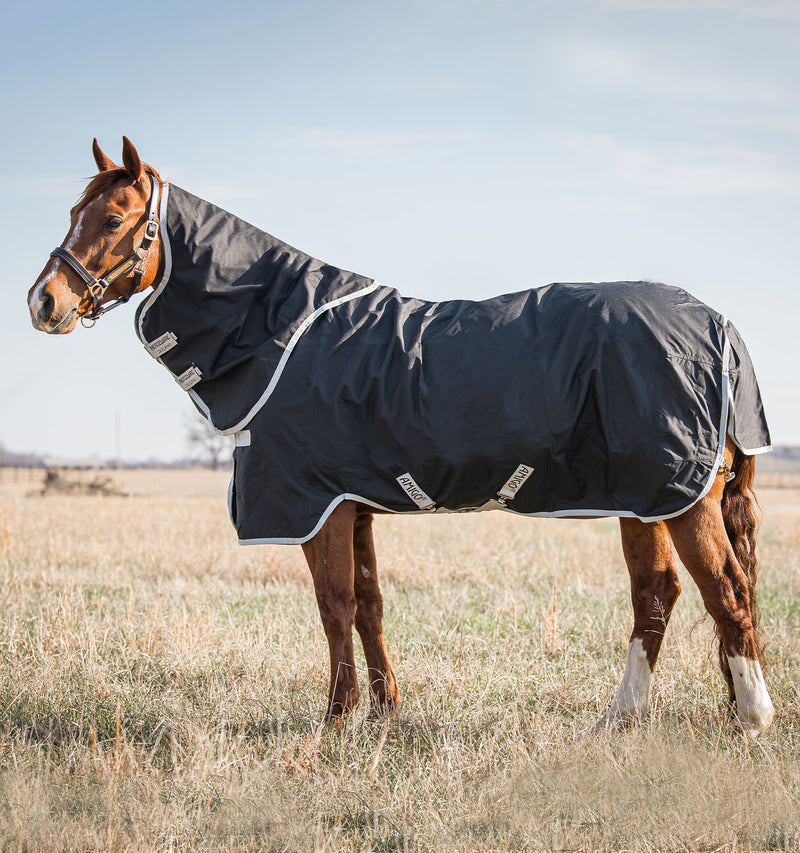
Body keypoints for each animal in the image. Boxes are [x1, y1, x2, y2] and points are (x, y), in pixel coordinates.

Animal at [27, 137, 776, 736]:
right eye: (72, 215)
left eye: (114, 219)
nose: (43, 301)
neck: (282, 330)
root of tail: (721, 327)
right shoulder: (352, 506)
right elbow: (370, 606)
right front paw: (386, 713)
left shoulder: (317, 507)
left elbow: (334, 607)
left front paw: (335, 719)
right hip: (644, 499)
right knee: (658, 595)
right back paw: (621, 718)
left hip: (680, 497)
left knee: (725, 591)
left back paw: (752, 716)